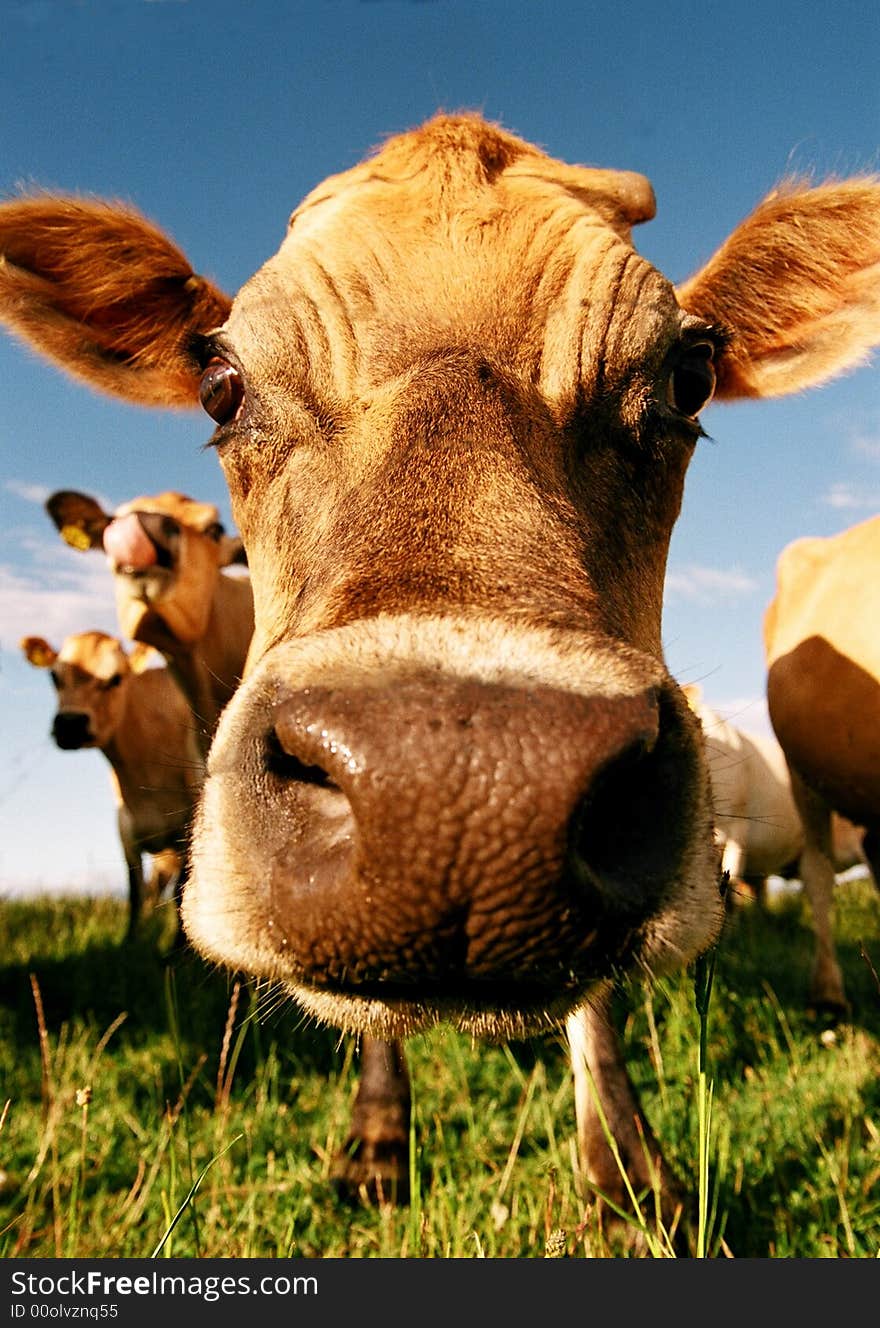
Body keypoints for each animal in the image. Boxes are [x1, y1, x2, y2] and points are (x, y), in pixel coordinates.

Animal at [23, 629, 205, 934]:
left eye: (116, 678)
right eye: (54, 677)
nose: (70, 723)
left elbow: (181, 896)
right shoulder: (126, 830)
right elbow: (136, 893)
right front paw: (130, 940)